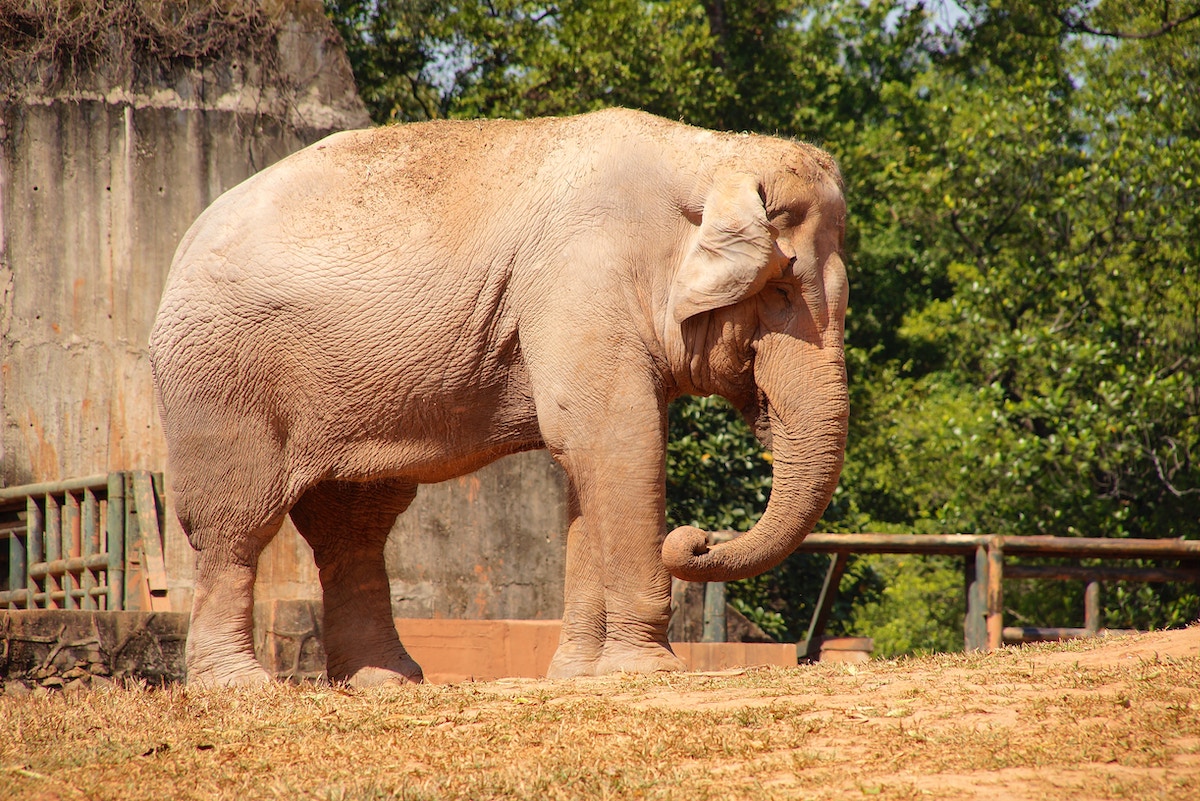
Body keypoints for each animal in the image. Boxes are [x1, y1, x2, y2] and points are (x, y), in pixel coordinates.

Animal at [149, 108, 849, 686]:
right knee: (236, 522)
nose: (696, 540)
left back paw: (387, 683)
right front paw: (645, 673)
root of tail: (183, 243)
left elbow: (587, 461)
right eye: (780, 292)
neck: (708, 151)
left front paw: (577, 678)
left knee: (354, 525)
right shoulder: (580, 277)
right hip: (220, 379)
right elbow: (618, 442)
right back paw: (240, 689)